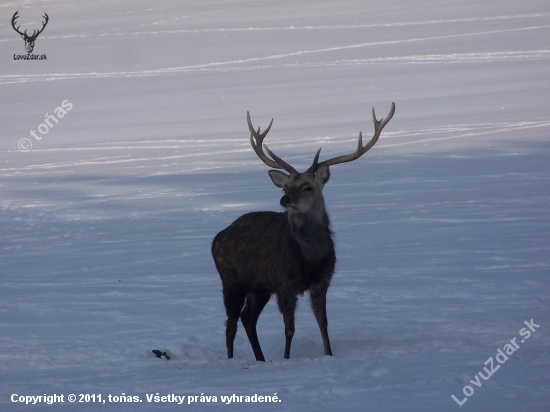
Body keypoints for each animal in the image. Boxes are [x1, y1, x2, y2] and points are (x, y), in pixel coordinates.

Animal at [212, 103, 396, 360]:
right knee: (231, 321)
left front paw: (328, 354)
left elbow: (324, 323)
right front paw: (286, 358)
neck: (311, 258)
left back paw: (261, 359)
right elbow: (289, 329)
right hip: (230, 278)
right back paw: (232, 359)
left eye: (308, 187)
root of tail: (217, 239)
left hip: (258, 286)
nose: (284, 200)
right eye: (286, 187)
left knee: (247, 318)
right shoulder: (284, 283)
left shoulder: (322, 281)